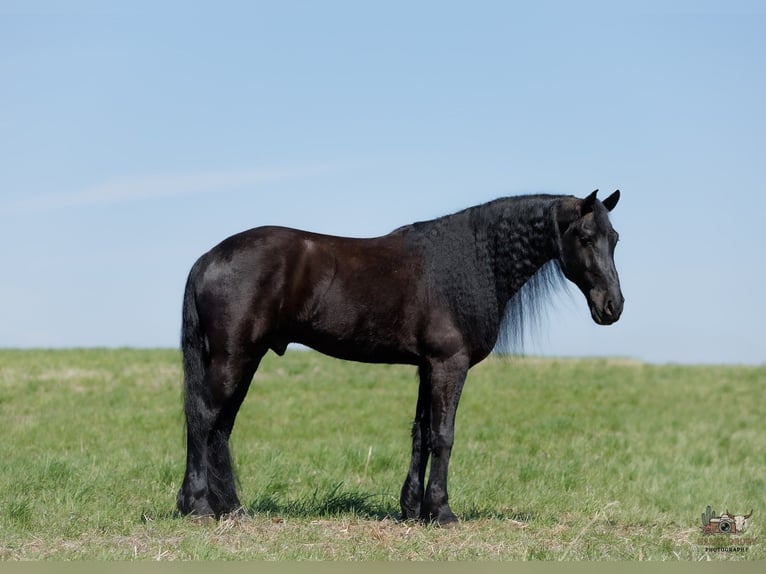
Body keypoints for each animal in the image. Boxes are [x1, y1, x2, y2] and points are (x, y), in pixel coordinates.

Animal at [176, 189, 624, 525]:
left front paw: (412, 509)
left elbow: (420, 434)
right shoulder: (448, 365)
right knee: (203, 418)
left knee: (220, 427)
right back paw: (197, 506)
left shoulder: (427, 367)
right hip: (234, 357)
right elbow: (443, 436)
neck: (471, 260)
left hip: (244, 359)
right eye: (586, 238)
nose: (612, 306)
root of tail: (207, 259)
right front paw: (442, 512)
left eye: (614, 238)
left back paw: (231, 509)